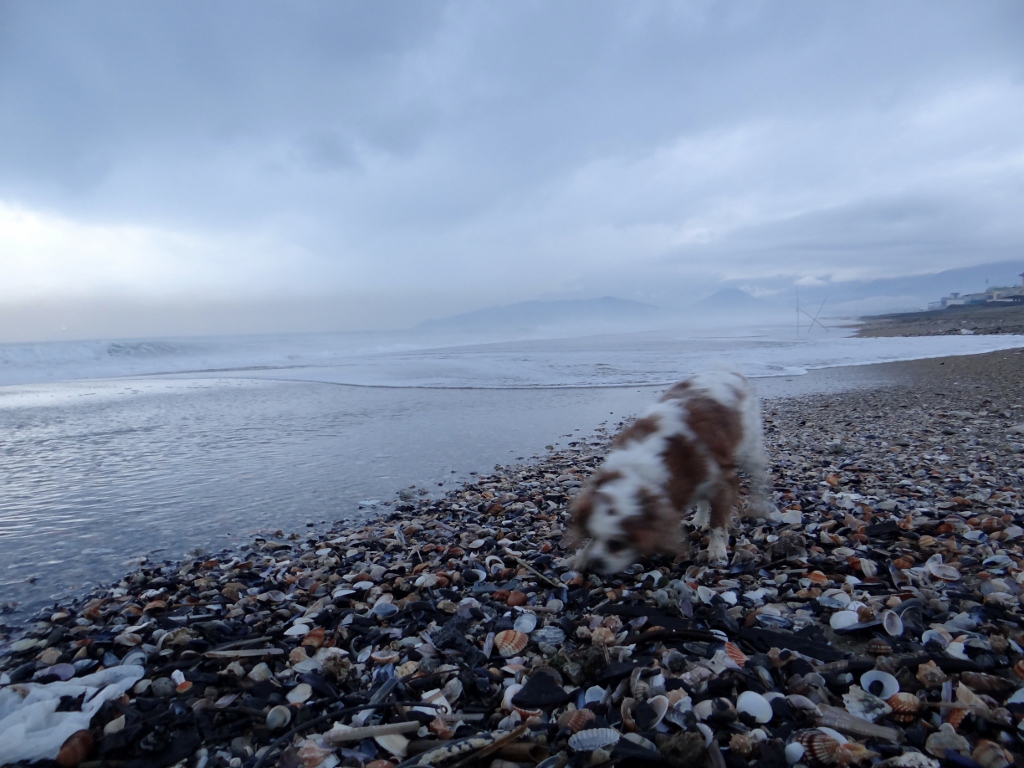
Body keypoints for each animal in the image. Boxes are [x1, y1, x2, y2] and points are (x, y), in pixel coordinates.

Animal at [570, 370, 773, 572]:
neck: (639, 470)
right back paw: (698, 520)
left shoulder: (722, 482)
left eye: (617, 543)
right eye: (592, 535)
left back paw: (761, 505)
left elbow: (717, 522)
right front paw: (582, 555)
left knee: (760, 476)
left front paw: (717, 551)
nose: (594, 563)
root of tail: (728, 371)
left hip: (750, 451)